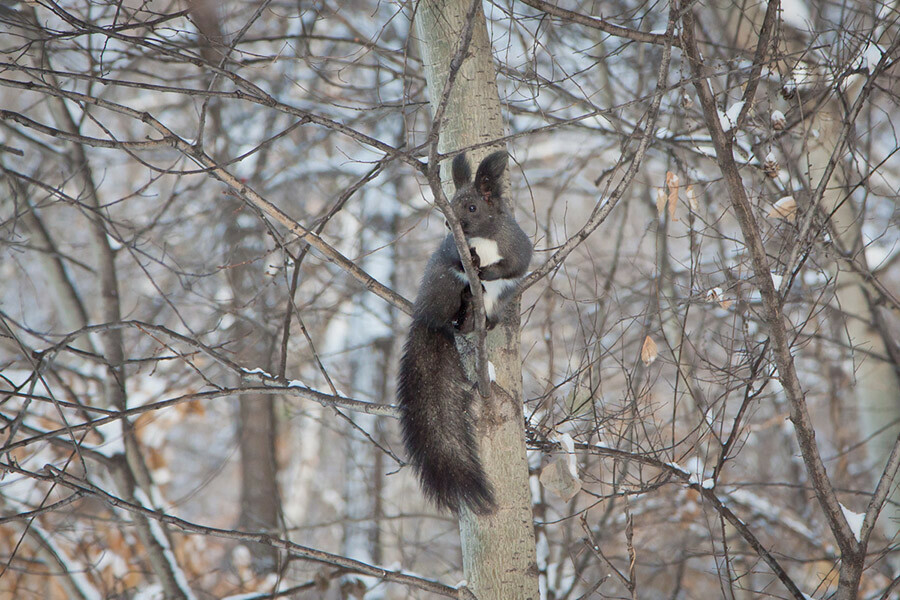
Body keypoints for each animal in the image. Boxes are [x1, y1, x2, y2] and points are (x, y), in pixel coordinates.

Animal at [398, 151, 532, 516]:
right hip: (443, 285)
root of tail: (427, 316)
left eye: (472, 207)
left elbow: (515, 266)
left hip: (494, 303)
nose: (449, 224)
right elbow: (458, 259)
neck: (482, 241)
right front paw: (470, 261)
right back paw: (465, 308)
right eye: (452, 202)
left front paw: (488, 270)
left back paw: (475, 314)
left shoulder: (516, 246)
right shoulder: (450, 251)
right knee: (454, 305)